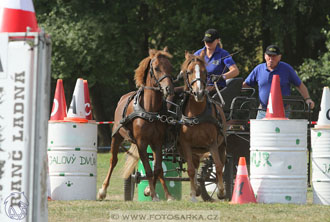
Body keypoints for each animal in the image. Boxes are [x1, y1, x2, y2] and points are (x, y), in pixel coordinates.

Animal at [98, 48, 174, 201]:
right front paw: (154, 195)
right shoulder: (141, 142)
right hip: (117, 137)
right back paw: (103, 190)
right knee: (113, 161)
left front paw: (165, 194)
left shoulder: (157, 142)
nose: (168, 88)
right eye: (156, 68)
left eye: (170, 67)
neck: (150, 110)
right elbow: (148, 170)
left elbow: (158, 169)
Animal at [178, 52, 227, 201]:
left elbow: (218, 166)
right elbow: (190, 170)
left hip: (221, 145)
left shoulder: (213, 143)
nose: (199, 93)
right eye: (189, 72)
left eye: (205, 72)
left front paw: (221, 191)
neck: (196, 114)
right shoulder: (186, 144)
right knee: (194, 166)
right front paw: (194, 194)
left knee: (221, 163)